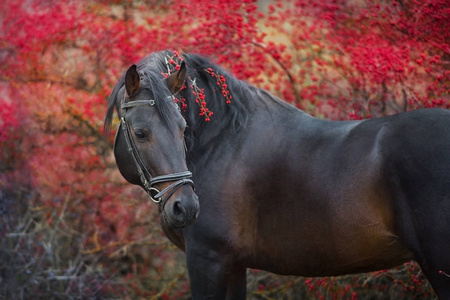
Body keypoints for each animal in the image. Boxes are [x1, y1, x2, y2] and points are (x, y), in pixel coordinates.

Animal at [105, 49, 450, 298]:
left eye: (183, 128)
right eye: (140, 133)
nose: (185, 207)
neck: (223, 142)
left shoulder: (207, 259)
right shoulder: (233, 264)